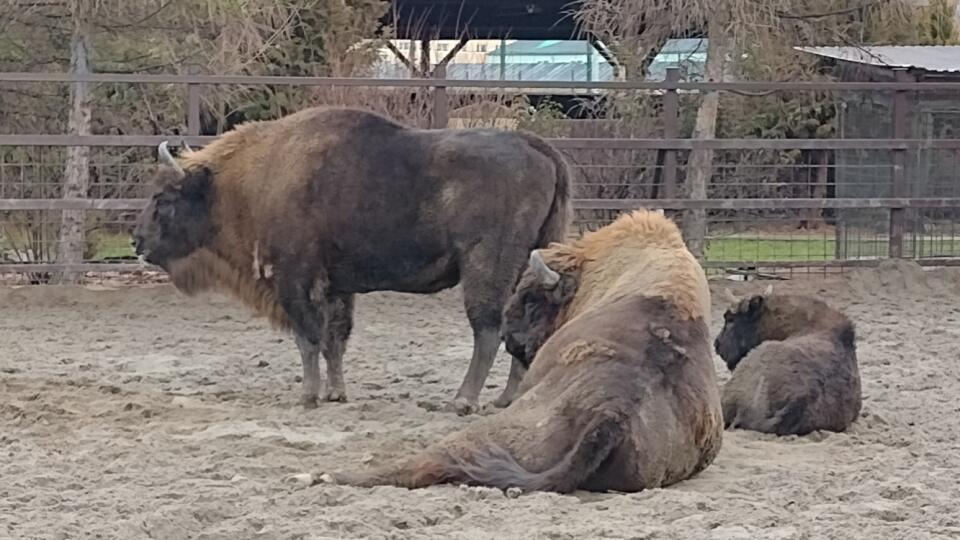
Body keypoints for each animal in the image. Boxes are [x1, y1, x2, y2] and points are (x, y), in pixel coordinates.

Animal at [133, 105, 568, 414]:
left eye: (164, 198)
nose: (137, 241)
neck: (250, 180)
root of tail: (536, 146)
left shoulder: (295, 280)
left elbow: (308, 337)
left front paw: (308, 396)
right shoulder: (335, 287)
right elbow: (334, 340)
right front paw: (335, 393)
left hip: (485, 267)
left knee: (488, 331)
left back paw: (463, 401)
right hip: (530, 265)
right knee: (519, 329)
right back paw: (507, 399)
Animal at [312, 210, 724, 494]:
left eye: (528, 298)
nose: (510, 336)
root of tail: (611, 414)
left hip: (479, 438)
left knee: (418, 466)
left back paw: (324, 474)